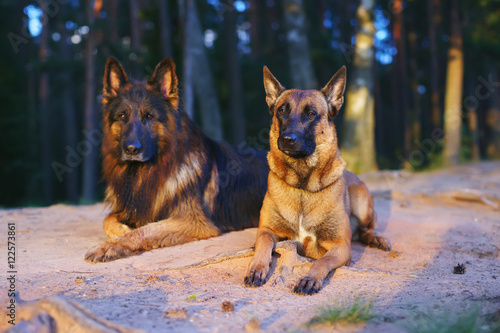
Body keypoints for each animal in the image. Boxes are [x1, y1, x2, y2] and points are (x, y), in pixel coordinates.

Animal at [85, 57, 270, 262]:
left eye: (149, 116)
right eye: (122, 116)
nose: (132, 149)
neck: (146, 172)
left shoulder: (194, 221)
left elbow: (146, 230)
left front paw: (111, 245)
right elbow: (108, 220)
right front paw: (122, 230)